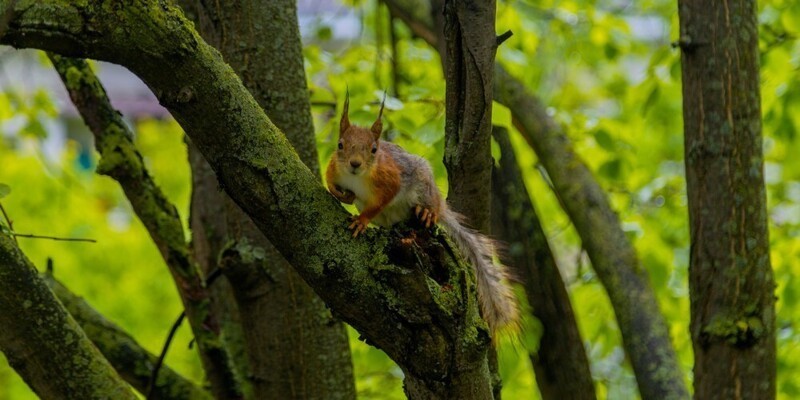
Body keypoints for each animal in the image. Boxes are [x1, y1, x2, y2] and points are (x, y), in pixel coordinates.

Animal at [324, 93, 520, 334]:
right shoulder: (334, 169)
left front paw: (361, 221)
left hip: (424, 187)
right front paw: (342, 195)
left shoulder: (390, 180)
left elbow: (379, 203)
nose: (354, 164)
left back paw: (427, 213)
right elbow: (329, 181)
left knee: (431, 207)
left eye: (374, 149)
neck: (357, 178)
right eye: (340, 145)